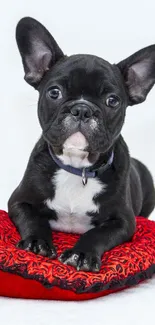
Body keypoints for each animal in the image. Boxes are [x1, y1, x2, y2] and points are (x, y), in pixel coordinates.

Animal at [8, 17, 155, 270]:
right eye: (54, 92)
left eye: (112, 101)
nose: (82, 109)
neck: (77, 168)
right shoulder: (18, 201)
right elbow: (33, 219)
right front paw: (37, 242)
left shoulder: (124, 221)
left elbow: (97, 234)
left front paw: (82, 254)